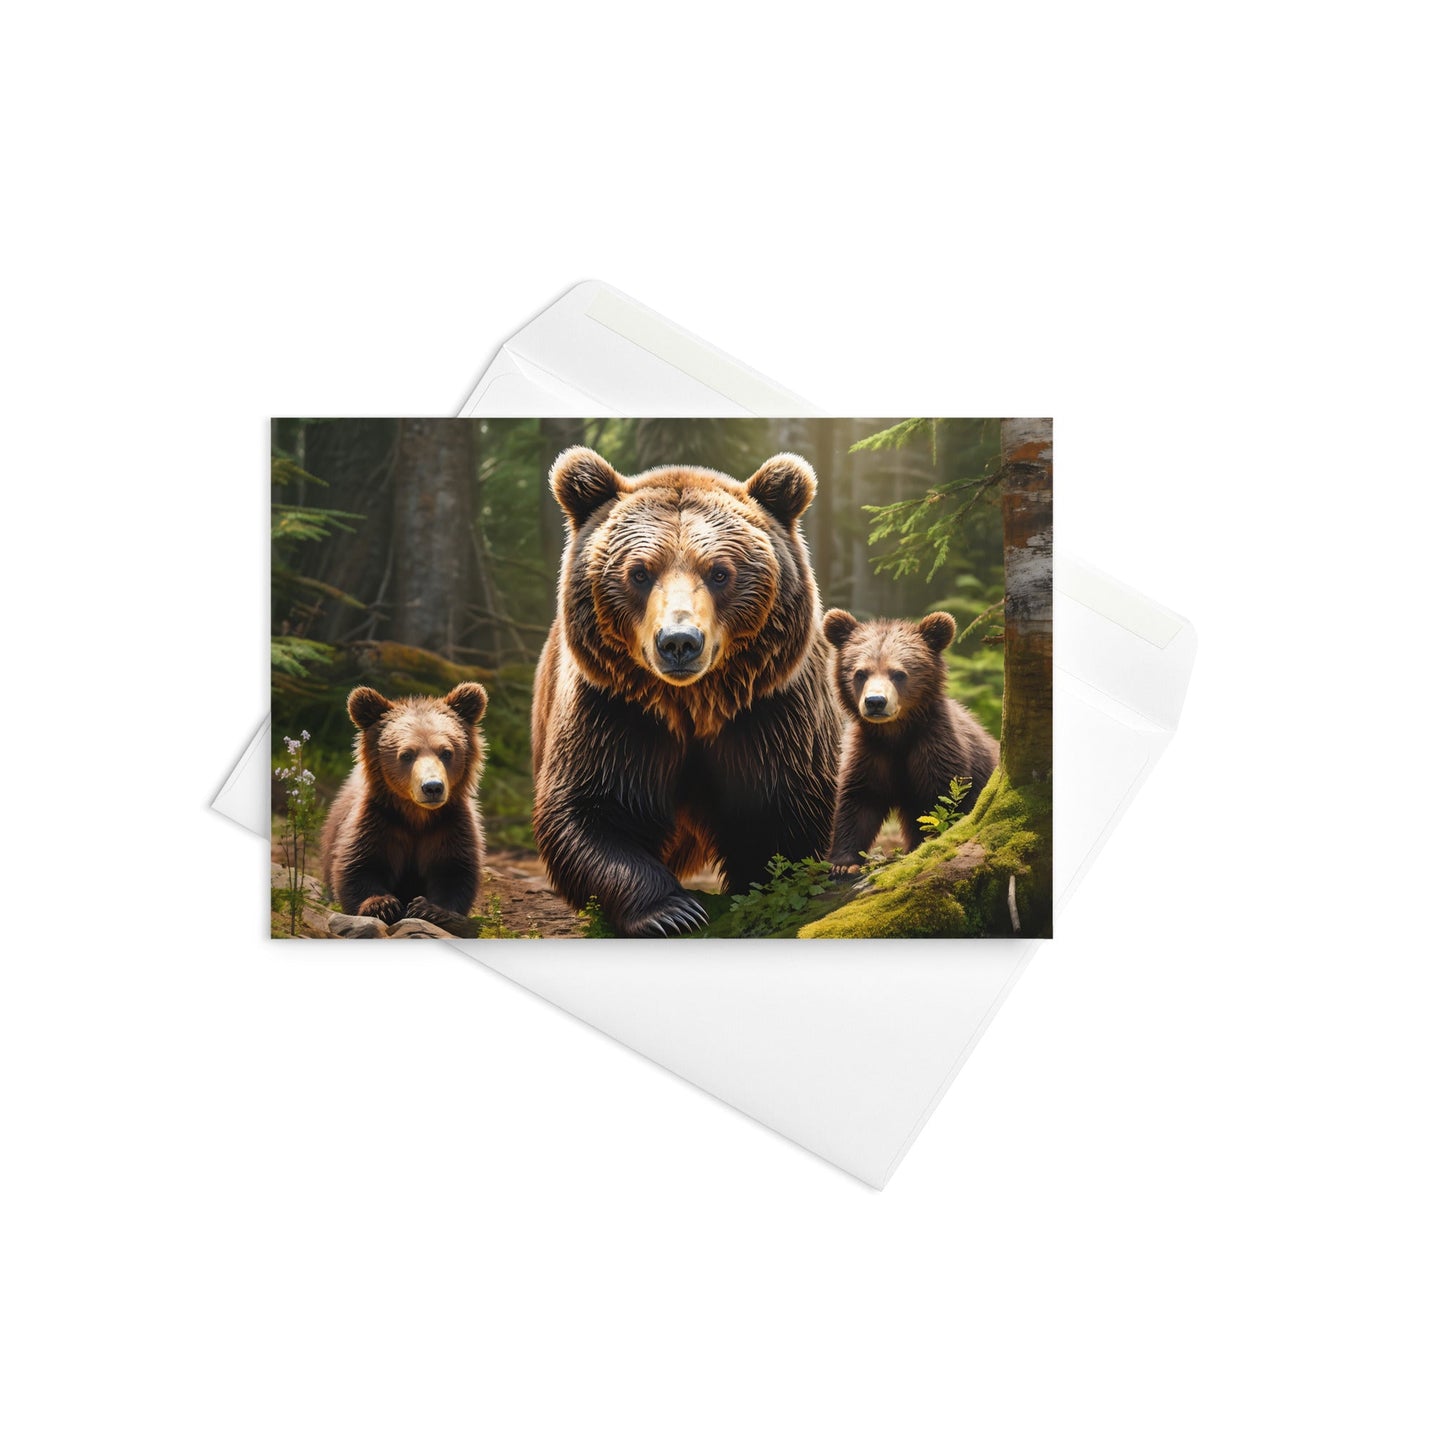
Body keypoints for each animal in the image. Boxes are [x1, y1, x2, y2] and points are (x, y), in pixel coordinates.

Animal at [320, 682, 489, 927]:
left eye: (447, 752)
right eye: (407, 754)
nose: (432, 787)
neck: (416, 816)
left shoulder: (450, 824)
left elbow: (455, 870)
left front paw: (429, 909)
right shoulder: (378, 820)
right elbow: (359, 866)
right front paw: (382, 905)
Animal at [531, 446, 842, 937]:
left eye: (719, 572)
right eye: (639, 572)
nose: (679, 641)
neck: (693, 703)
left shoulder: (770, 711)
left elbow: (784, 813)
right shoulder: (614, 710)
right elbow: (588, 809)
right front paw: (672, 911)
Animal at [820, 610, 999, 876]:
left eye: (899, 673)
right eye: (860, 673)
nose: (875, 701)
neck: (896, 733)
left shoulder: (935, 747)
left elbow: (942, 803)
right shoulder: (870, 752)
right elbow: (858, 801)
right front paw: (843, 863)